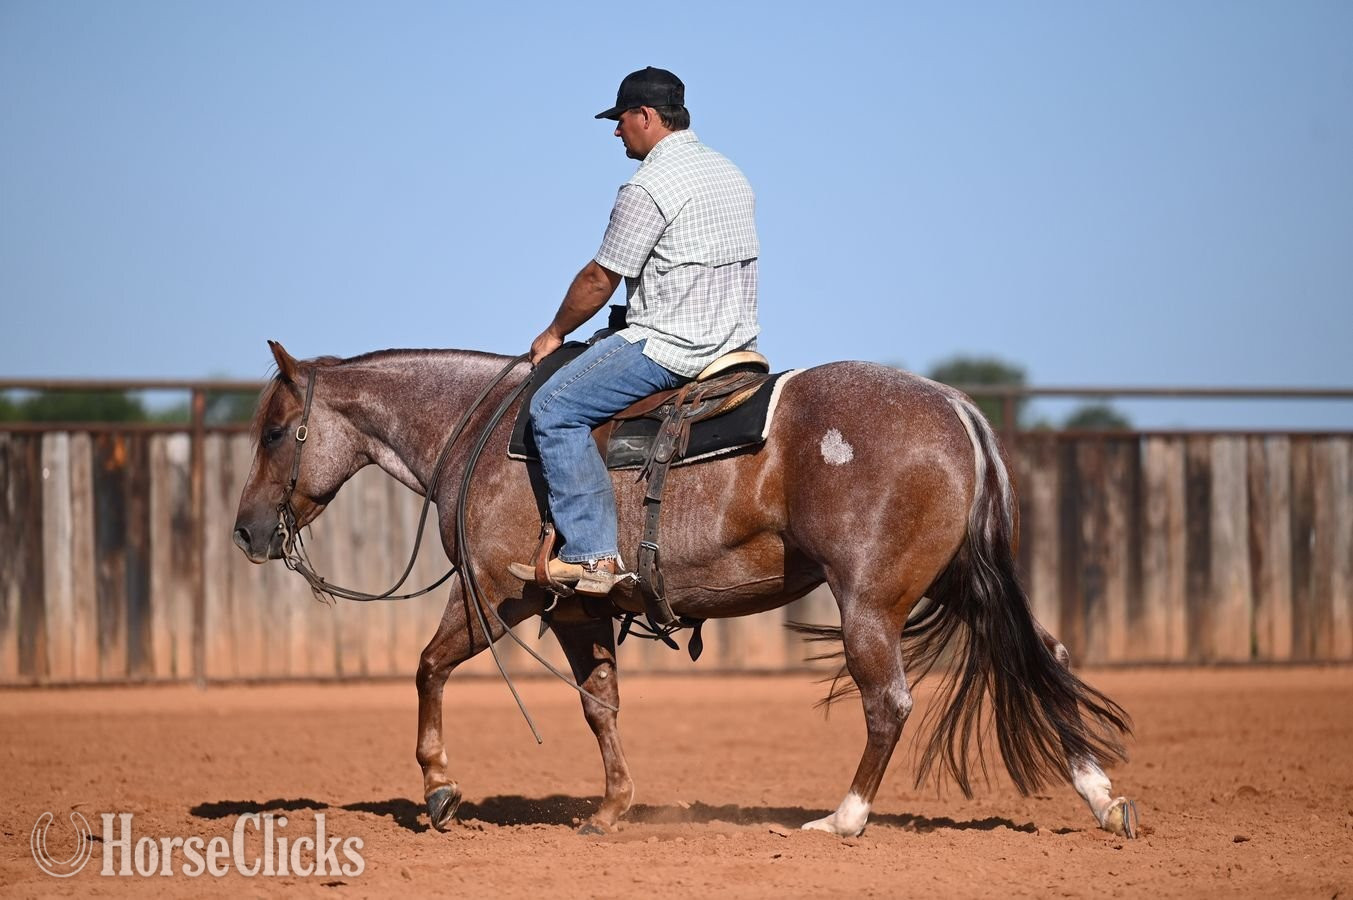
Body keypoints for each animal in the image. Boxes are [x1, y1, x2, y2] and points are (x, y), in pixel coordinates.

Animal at [232, 339, 1135, 839]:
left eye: (275, 431)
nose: (245, 531)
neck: (481, 431)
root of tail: (955, 407)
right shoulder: (581, 607)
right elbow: (599, 704)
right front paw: (611, 809)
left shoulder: (499, 593)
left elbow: (427, 667)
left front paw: (439, 788)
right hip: (957, 581)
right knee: (1041, 658)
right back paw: (1102, 799)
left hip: (869, 603)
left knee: (890, 701)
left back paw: (844, 818)